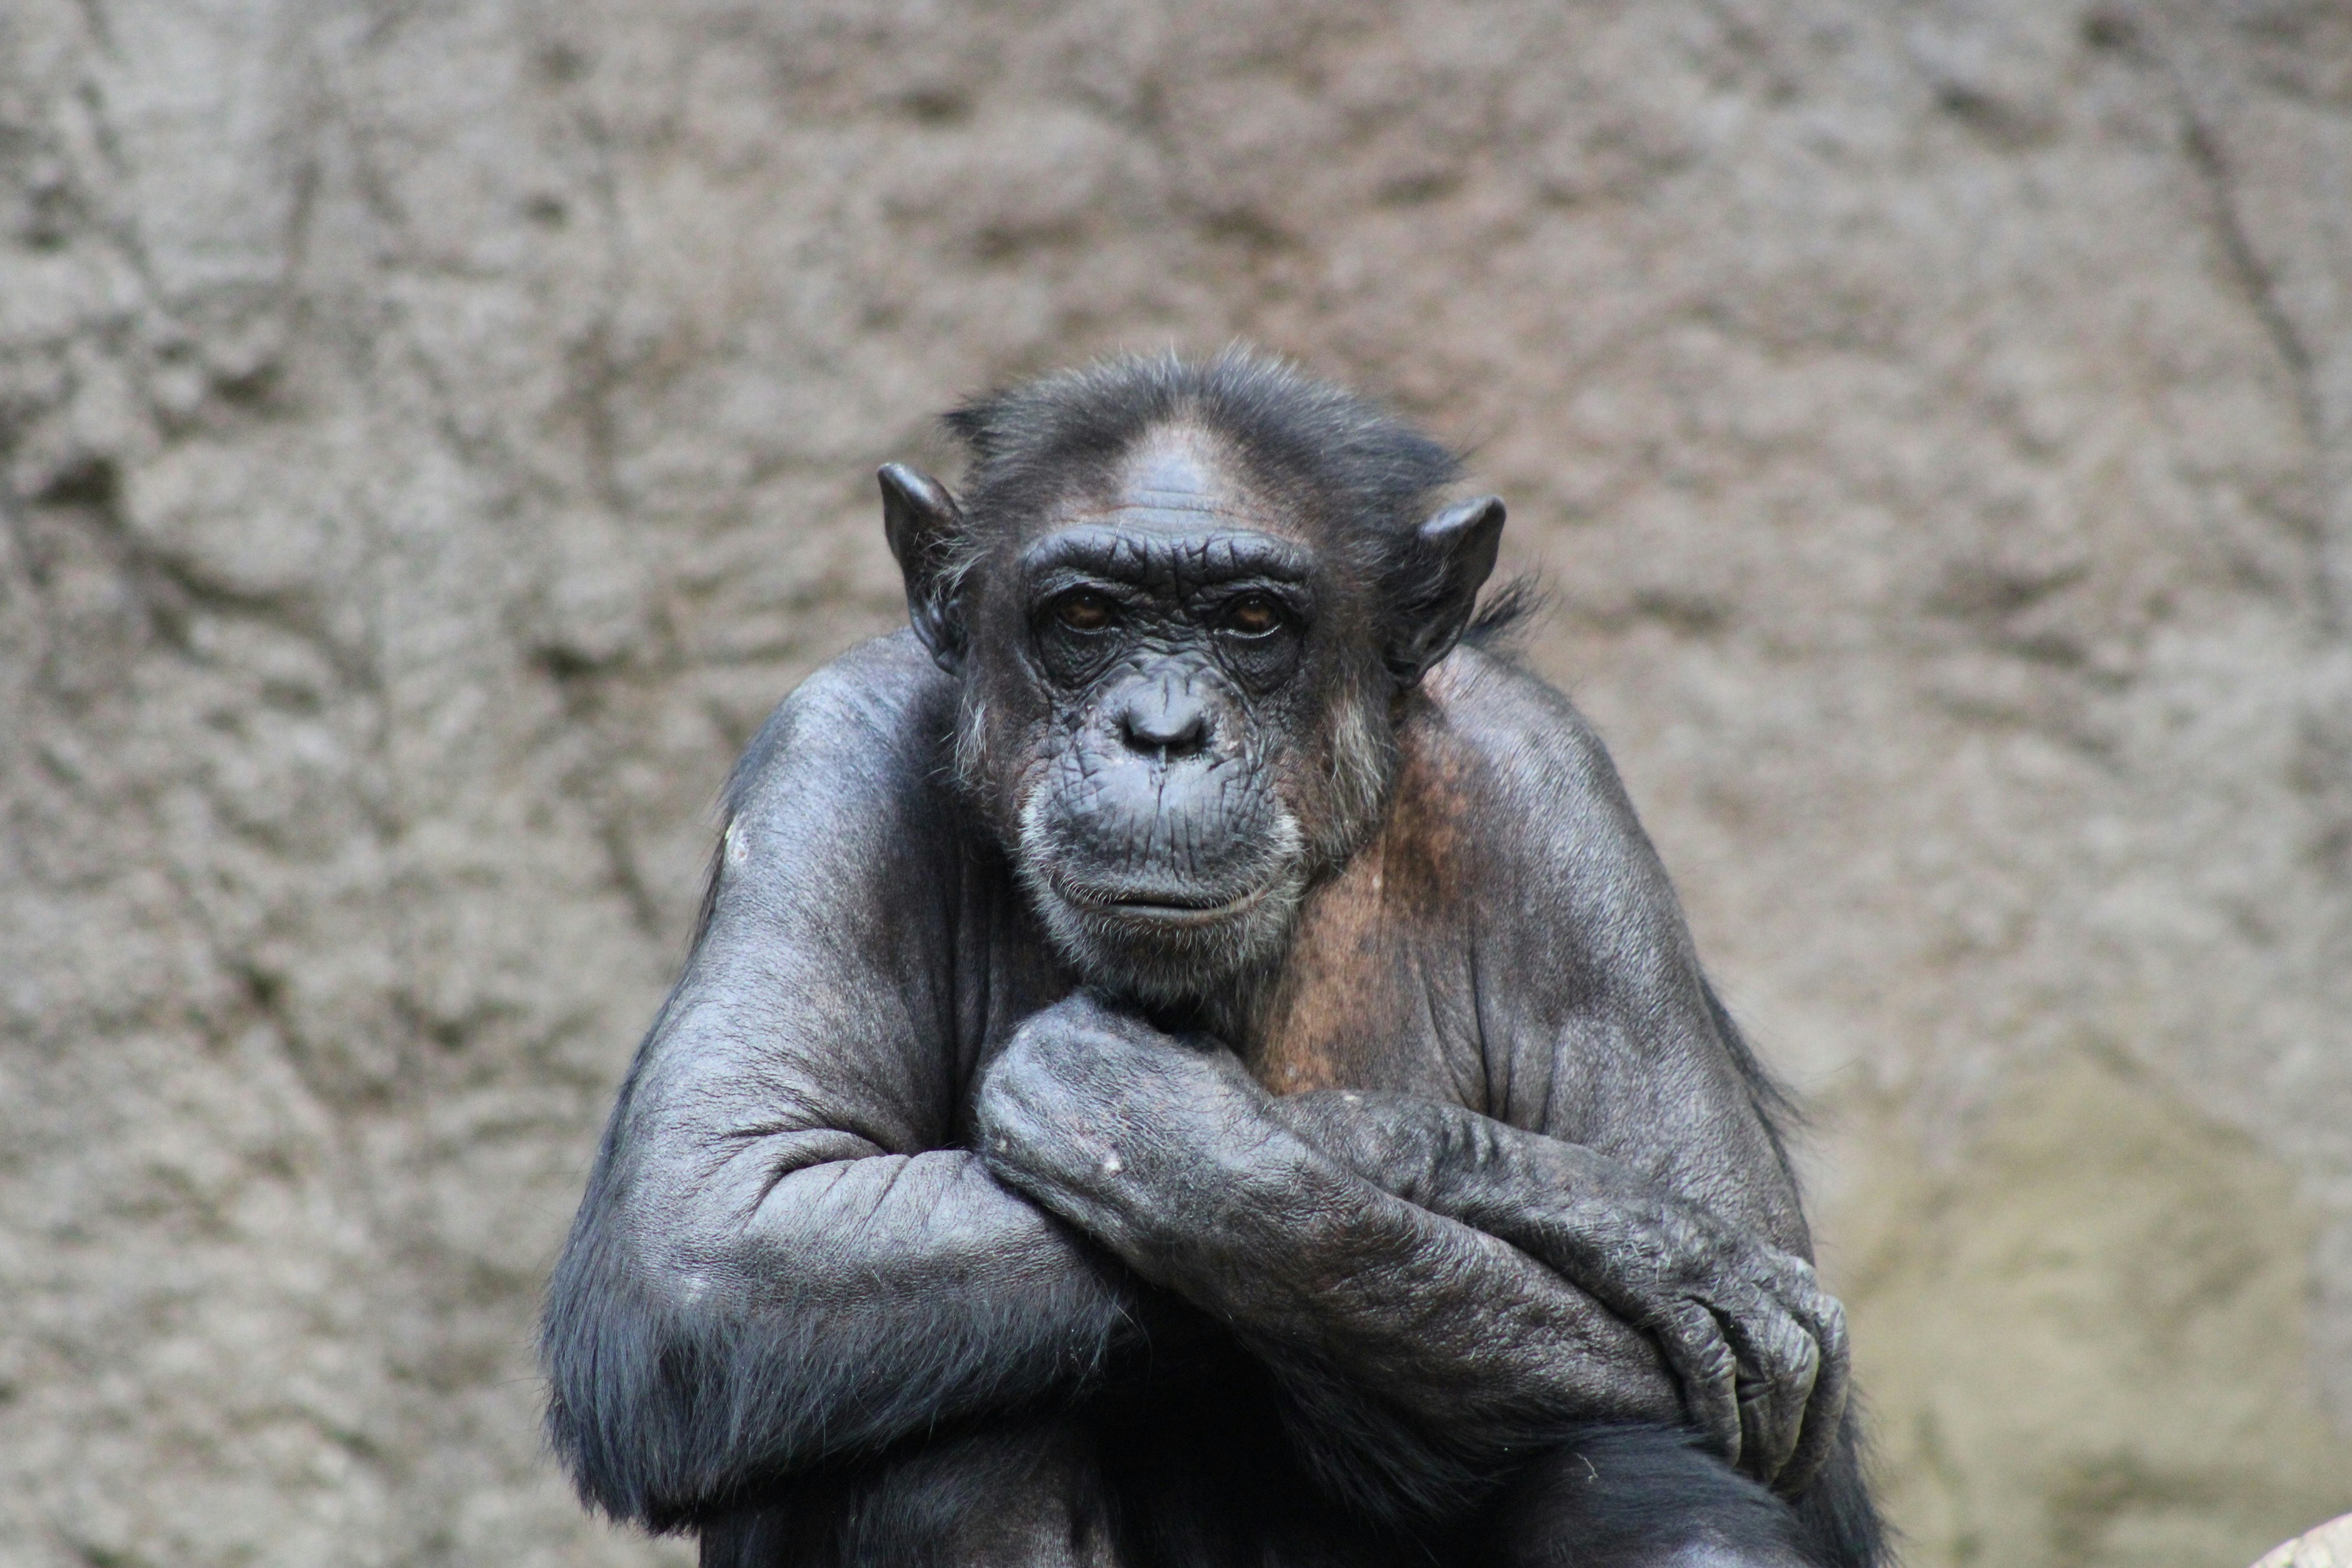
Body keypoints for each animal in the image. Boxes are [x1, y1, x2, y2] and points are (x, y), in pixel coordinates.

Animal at [541, 352, 1881, 1568]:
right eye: (1087, 616)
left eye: (1250, 621)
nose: (1164, 731)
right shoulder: (829, 759)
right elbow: (707, 1237)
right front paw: (1605, 1218)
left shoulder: (1554, 801)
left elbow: (1777, 1413)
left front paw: (1165, 1122)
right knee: (937, 1445)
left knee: (1656, 1484)